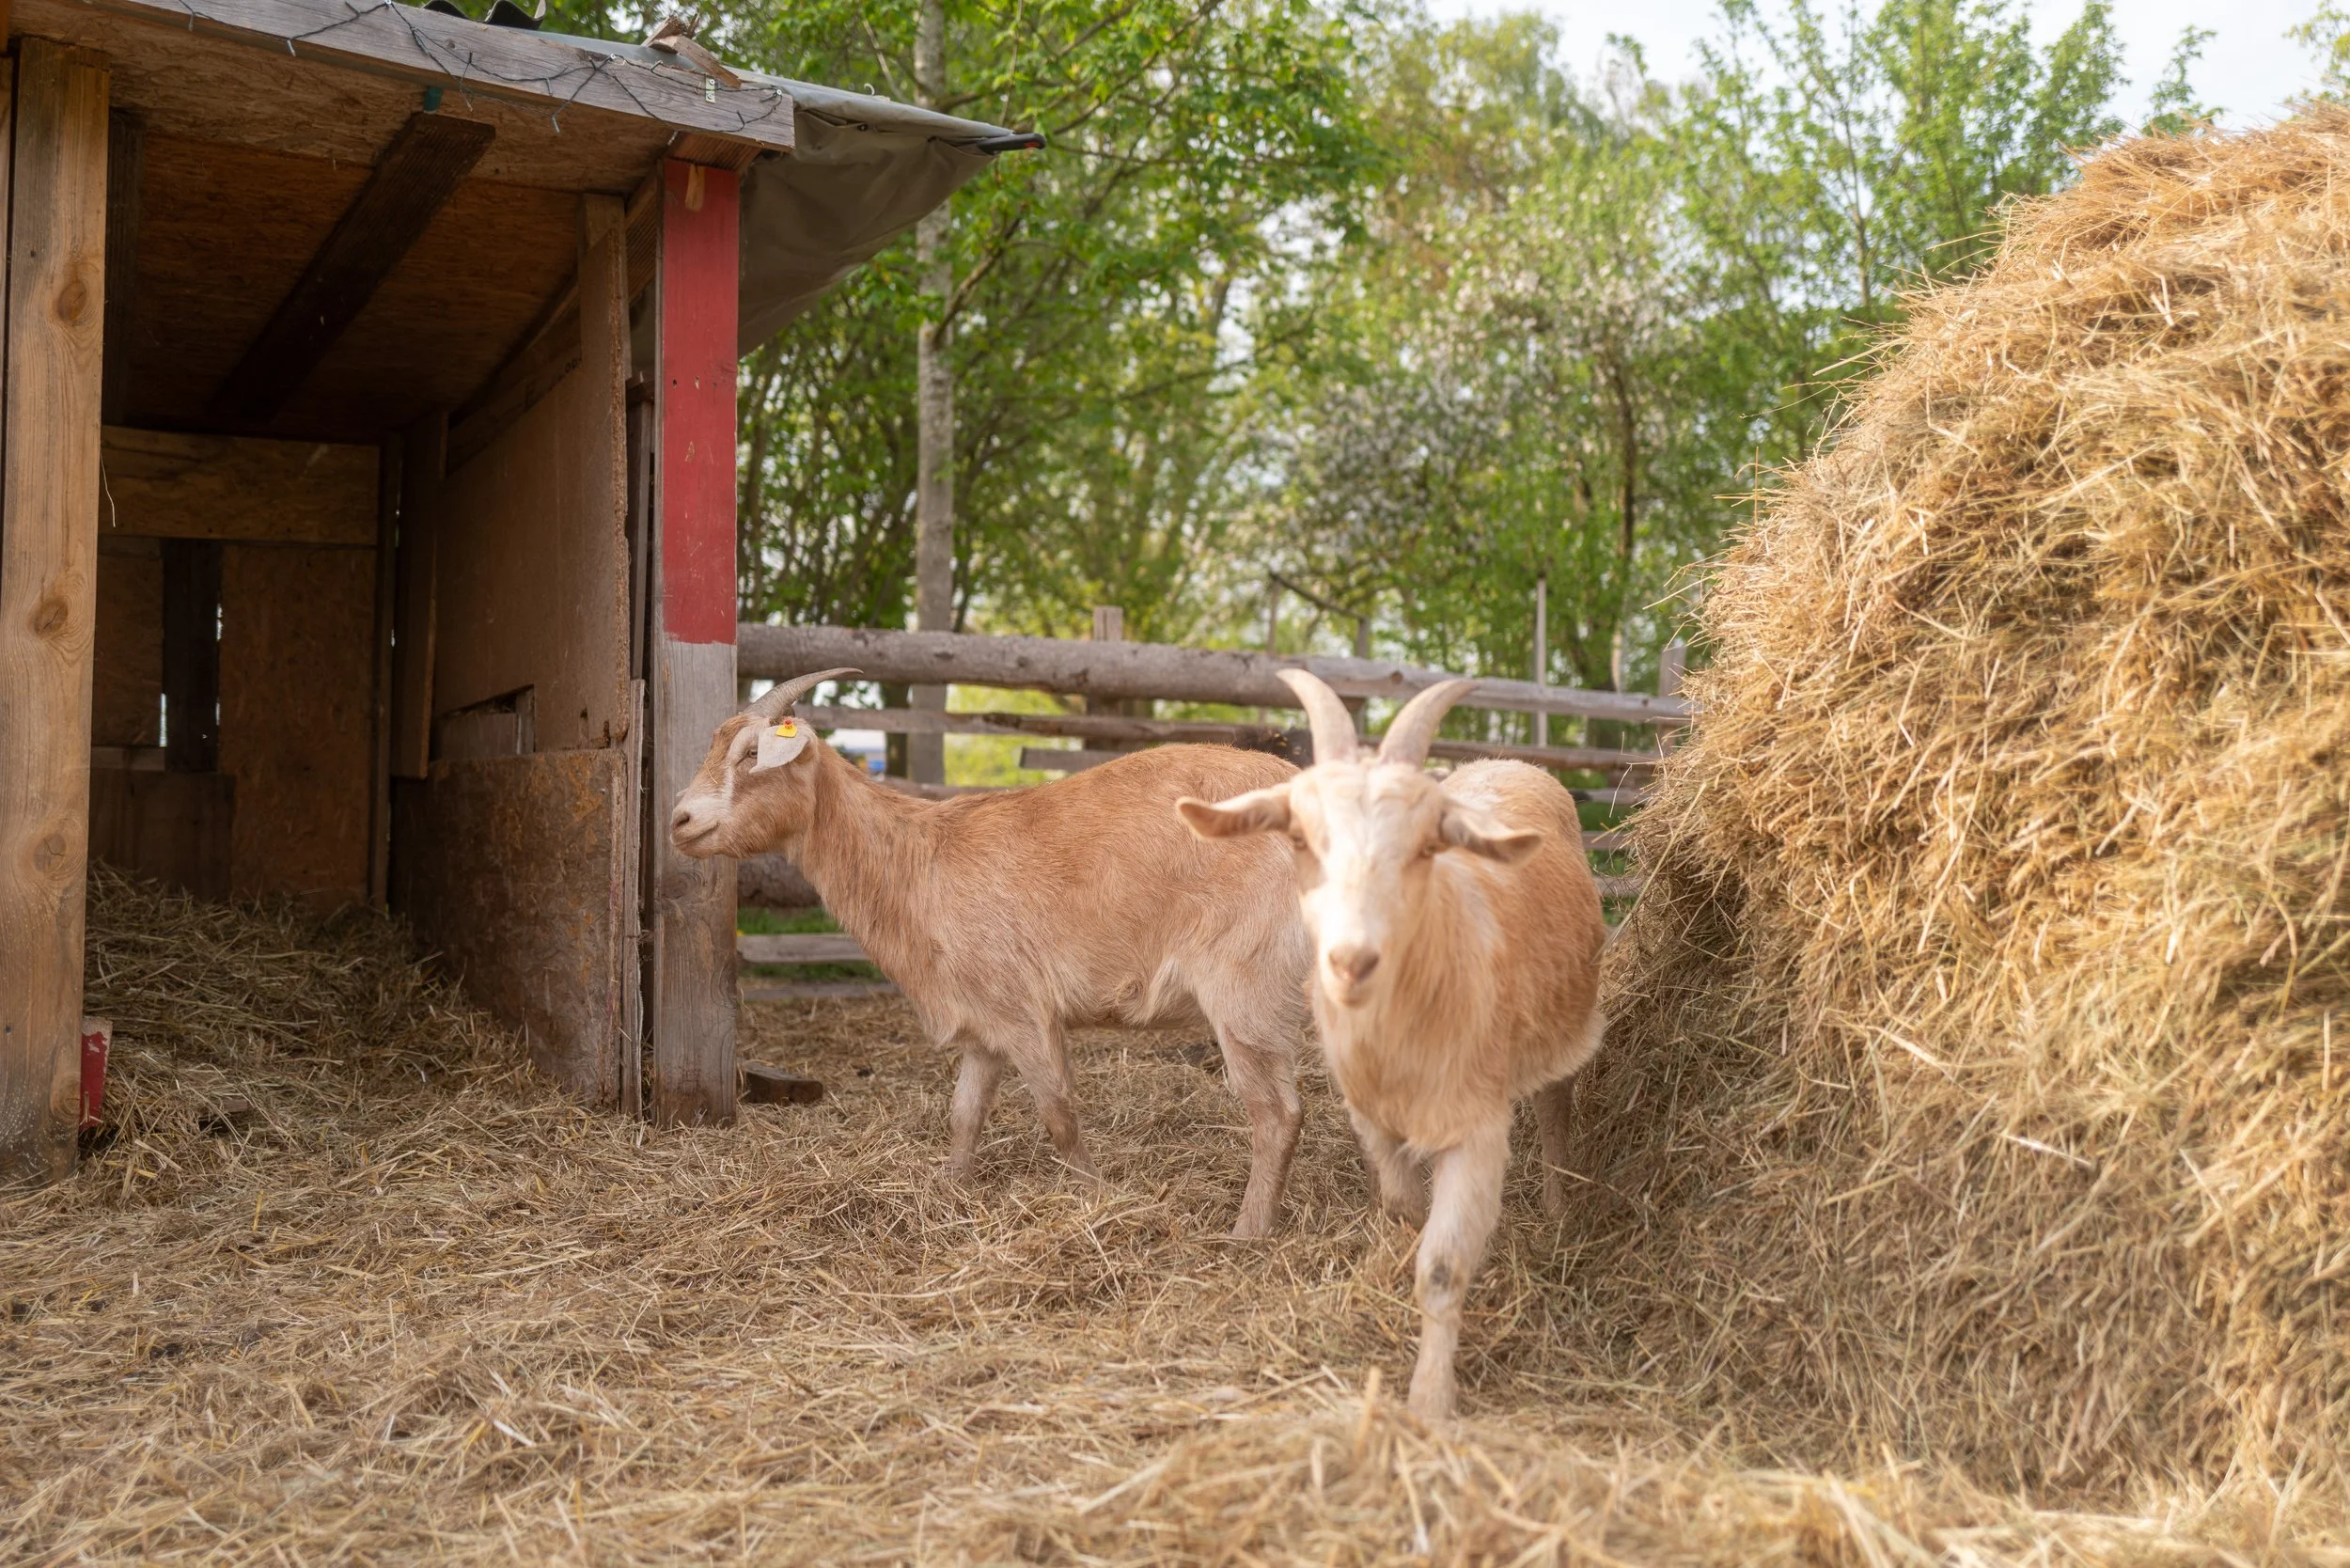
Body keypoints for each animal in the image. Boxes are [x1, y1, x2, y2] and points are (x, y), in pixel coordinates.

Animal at [669, 669, 1314, 1238]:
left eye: (752, 754)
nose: (679, 820)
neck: (919, 860)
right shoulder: (981, 1021)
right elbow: (965, 1113)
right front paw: (952, 1192)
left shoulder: (1023, 1010)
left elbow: (1060, 1117)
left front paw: (1099, 1201)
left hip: (1245, 983)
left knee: (1277, 1113)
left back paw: (1246, 1234)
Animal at [1175, 669, 1607, 1417]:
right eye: (1299, 838)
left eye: (1428, 844)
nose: (1351, 961)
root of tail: (1508, 762)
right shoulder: (1370, 1115)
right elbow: (1403, 1208)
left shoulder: (1477, 1125)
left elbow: (1442, 1266)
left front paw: (1430, 1402)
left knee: (1556, 1111)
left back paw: (1558, 1211)